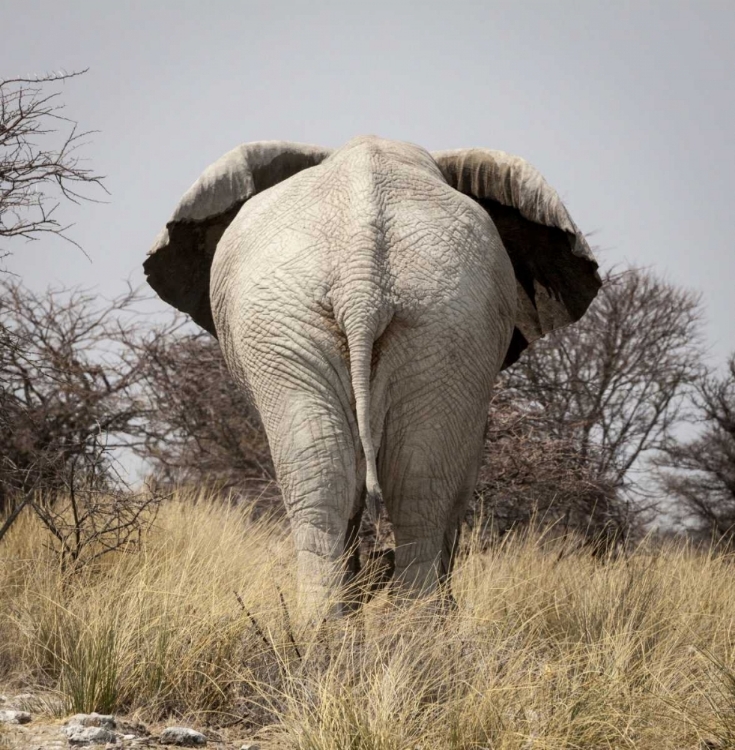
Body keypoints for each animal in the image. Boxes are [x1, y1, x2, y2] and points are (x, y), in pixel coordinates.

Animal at [145, 137, 604, 616]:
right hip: (325, 321)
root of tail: (362, 279)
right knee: (390, 479)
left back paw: (354, 625)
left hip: (425, 322)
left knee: (371, 476)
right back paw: (387, 624)